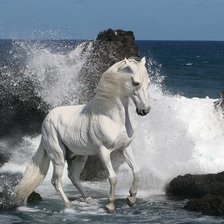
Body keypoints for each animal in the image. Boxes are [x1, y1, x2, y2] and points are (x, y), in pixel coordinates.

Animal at [15, 56, 150, 212]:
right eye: (135, 83)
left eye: (148, 83)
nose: (144, 110)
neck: (110, 117)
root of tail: (46, 120)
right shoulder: (103, 152)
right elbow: (113, 177)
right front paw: (110, 205)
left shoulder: (125, 148)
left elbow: (136, 170)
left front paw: (131, 198)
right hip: (58, 156)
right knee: (56, 181)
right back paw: (69, 205)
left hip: (79, 156)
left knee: (73, 177)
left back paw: (89, 199)